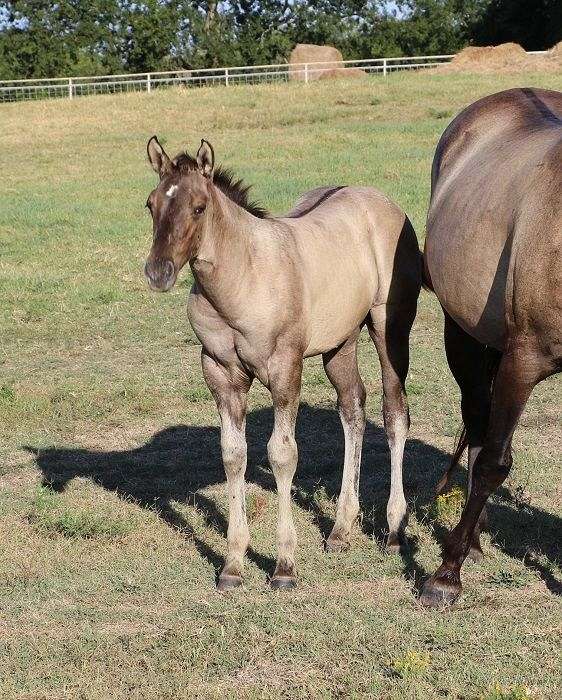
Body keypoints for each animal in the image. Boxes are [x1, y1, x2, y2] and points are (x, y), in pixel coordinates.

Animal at [143, 136, 421, 591]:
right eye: (151, 204)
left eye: (199, 207)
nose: (158, 272)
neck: (244, 278)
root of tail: (383, 201)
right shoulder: (220, 373)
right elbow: (233, 454)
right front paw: (233, 565)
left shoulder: (284, 368)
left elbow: (282, 454)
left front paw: (284, 566)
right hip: (340, 341)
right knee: (352, 408)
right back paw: (341, 530)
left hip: (389, 328)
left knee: (395, 413)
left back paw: (395, 529)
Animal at [421, 87, 562, 607]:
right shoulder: (524, 359)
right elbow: (492, 463)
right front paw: (445, 575)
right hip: (463, 334)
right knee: (480, 427)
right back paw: (471, 540)